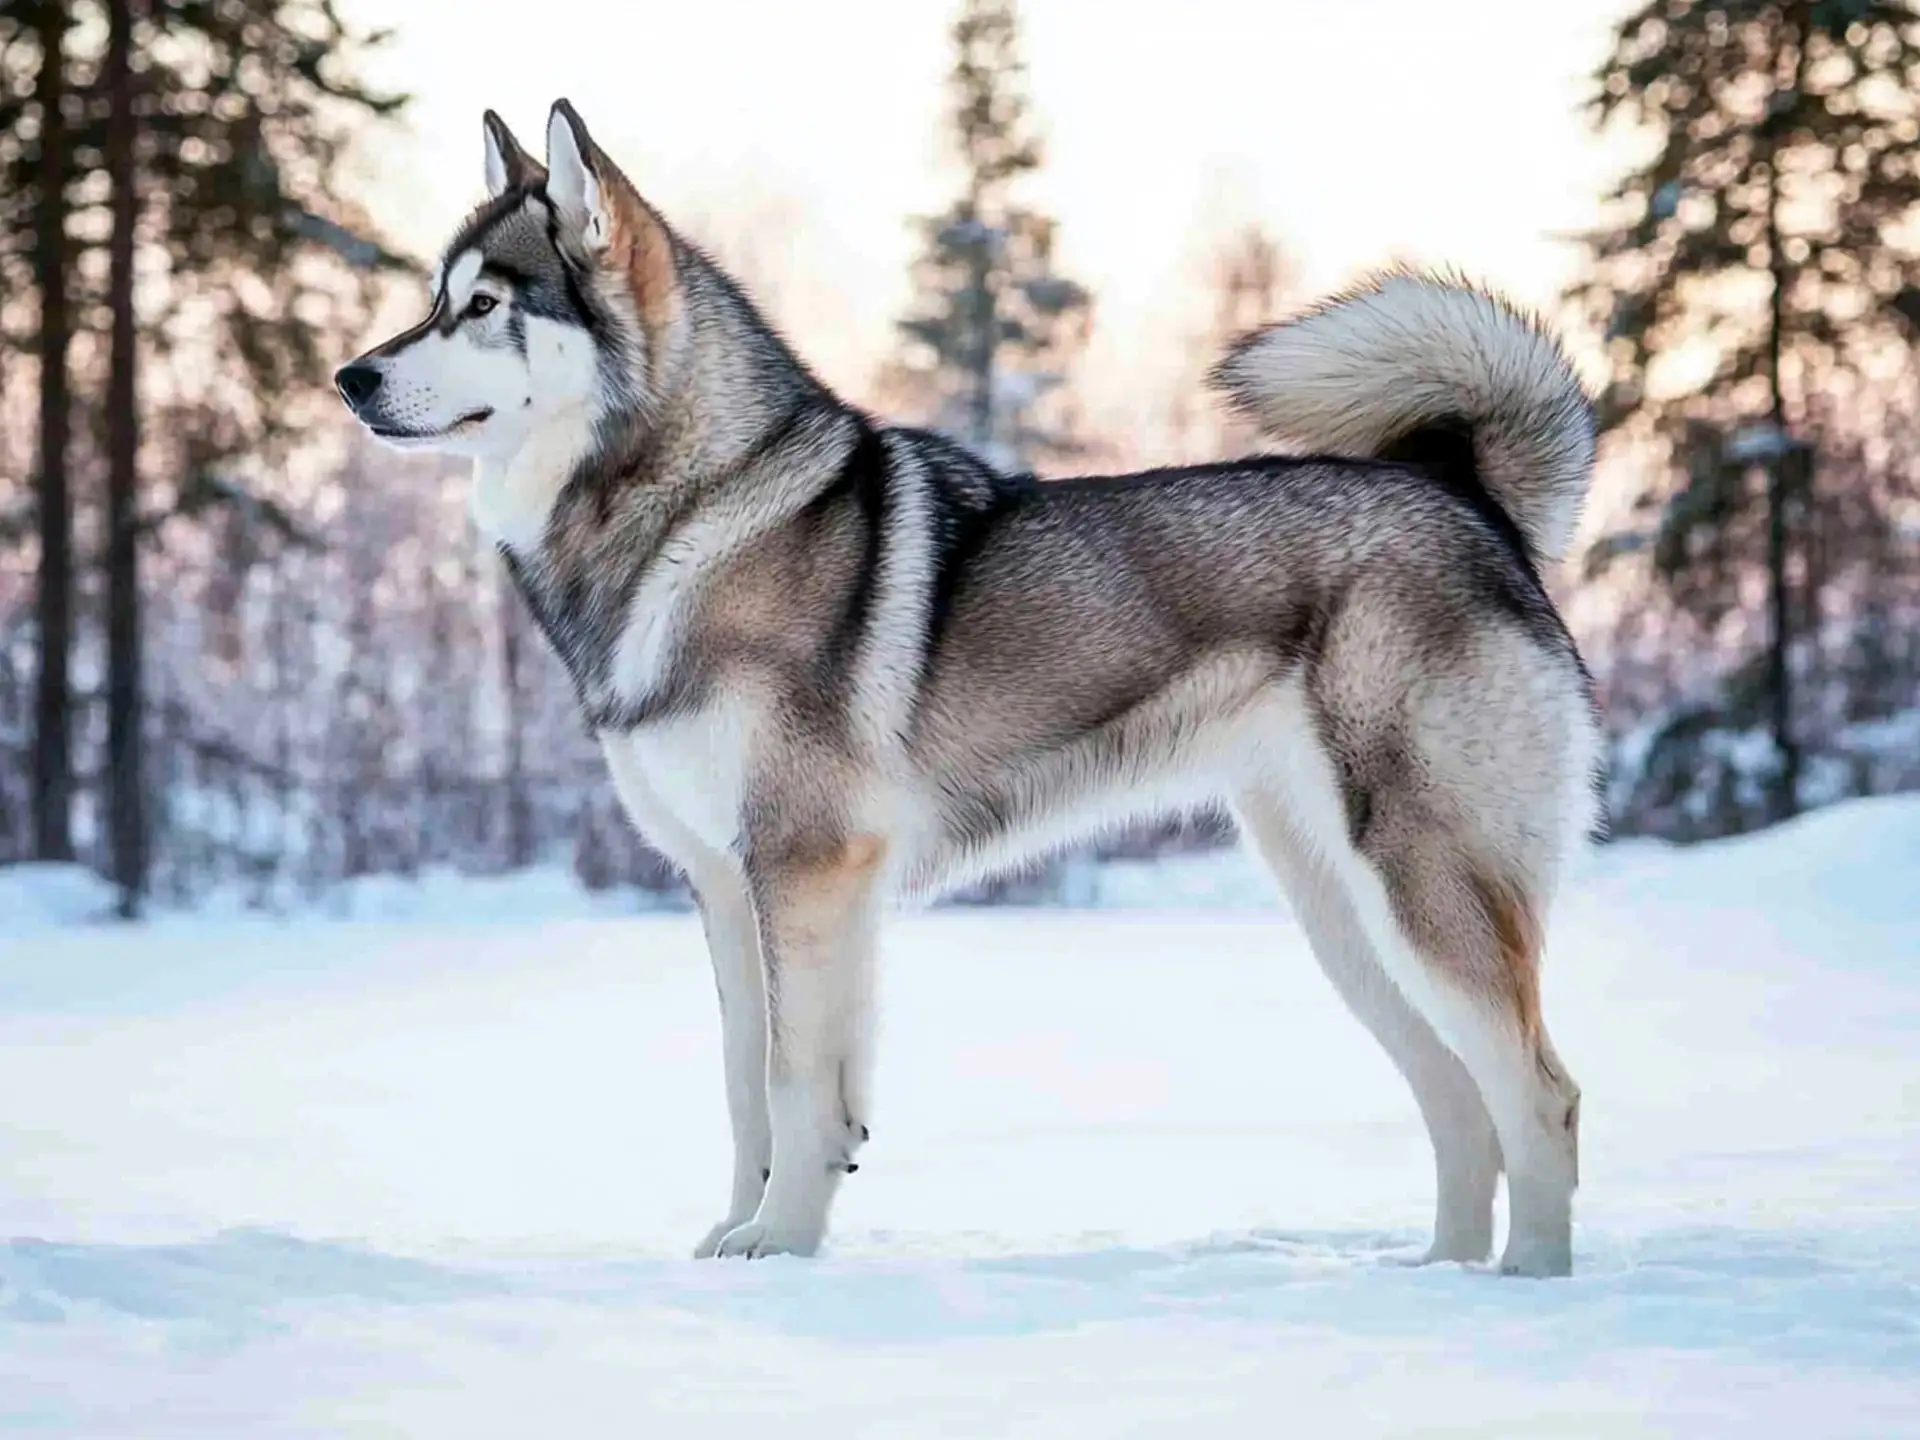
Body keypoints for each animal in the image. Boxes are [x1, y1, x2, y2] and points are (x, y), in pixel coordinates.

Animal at [337, 98, 1597, 1274]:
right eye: (433, 298)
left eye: (484, 306)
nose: (350, 377)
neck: (688, 513)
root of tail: (1466, 498)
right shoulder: (729, 885)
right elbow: (754, 1088)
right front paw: (745, 1237)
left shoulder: (804, 868)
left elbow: (794, 1084)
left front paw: (779, 1247)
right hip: (1344, 917)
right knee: (1458, 1100)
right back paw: (1439, 1277)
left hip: (1420, 889)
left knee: (1542, 1096)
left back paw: (1523, 1283)